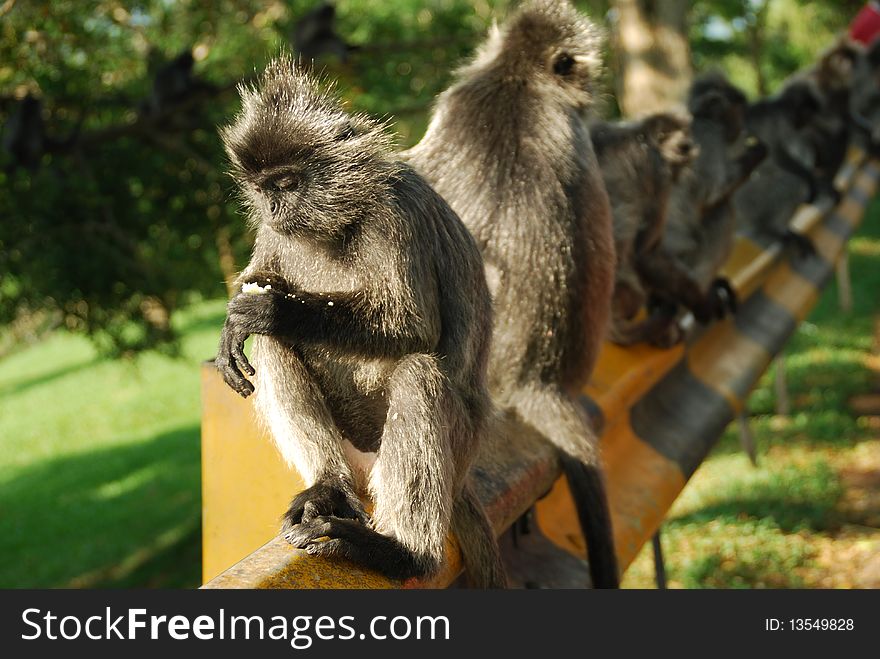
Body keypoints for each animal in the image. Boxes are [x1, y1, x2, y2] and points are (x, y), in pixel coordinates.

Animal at [215, 56, 508, 588]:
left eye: (288, 183)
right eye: (264, 188)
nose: (274, 205)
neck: (335, 225)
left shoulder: (393, 213)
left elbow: (416, 326)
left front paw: (276, 309)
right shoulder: (273, 231)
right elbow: (257, 291)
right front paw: (237, 320)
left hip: (453, 445)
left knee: (417, 374)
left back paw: (402, 553)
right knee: (271, 345)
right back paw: (329, 485)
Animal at [588, 110, 724, 346]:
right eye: (684, 147)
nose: (689, 149)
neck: (640, 134)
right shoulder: (658, 171)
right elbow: (646, 254)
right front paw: (701, 302)